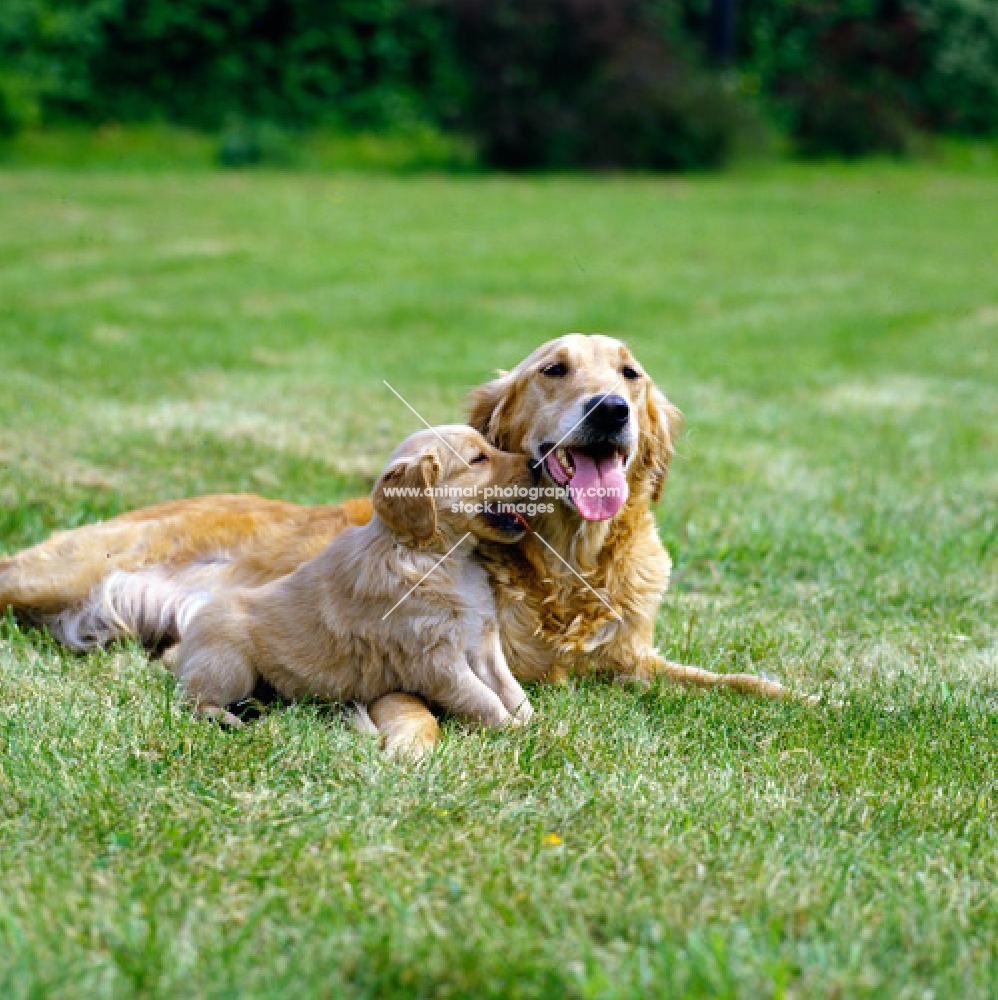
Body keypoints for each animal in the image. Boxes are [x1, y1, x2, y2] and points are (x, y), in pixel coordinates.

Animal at [170, 426, 540, 748]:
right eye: (479, 458)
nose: (537, 464)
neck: (438, 558)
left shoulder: (482, 643)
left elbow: (511, 690)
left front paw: (536, 724)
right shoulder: (435, 660)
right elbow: (482, 698)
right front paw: (517, 732)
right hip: (228, 660)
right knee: (190, 701)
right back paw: (226, 719)